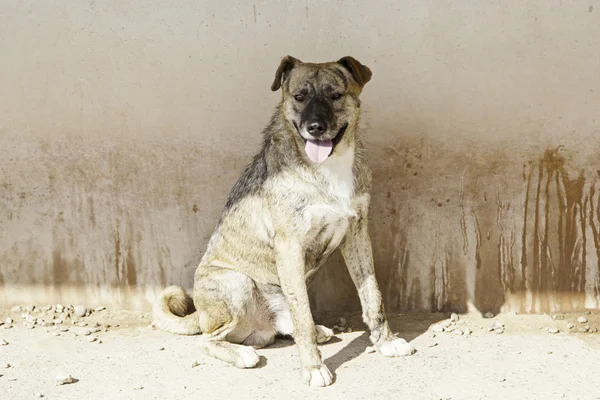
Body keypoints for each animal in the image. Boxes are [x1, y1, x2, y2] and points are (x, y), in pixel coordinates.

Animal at [152, 54, 414, 386]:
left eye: (335, 95)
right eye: (298, 97)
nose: (315, 128)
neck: (327, 167)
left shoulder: (357, 233)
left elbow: (372, 296)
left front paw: (385, 342)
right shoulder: (290, 246)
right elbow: (302, 314)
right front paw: (313, 367)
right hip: (236, 283)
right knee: (208, 339)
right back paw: (242, 352)